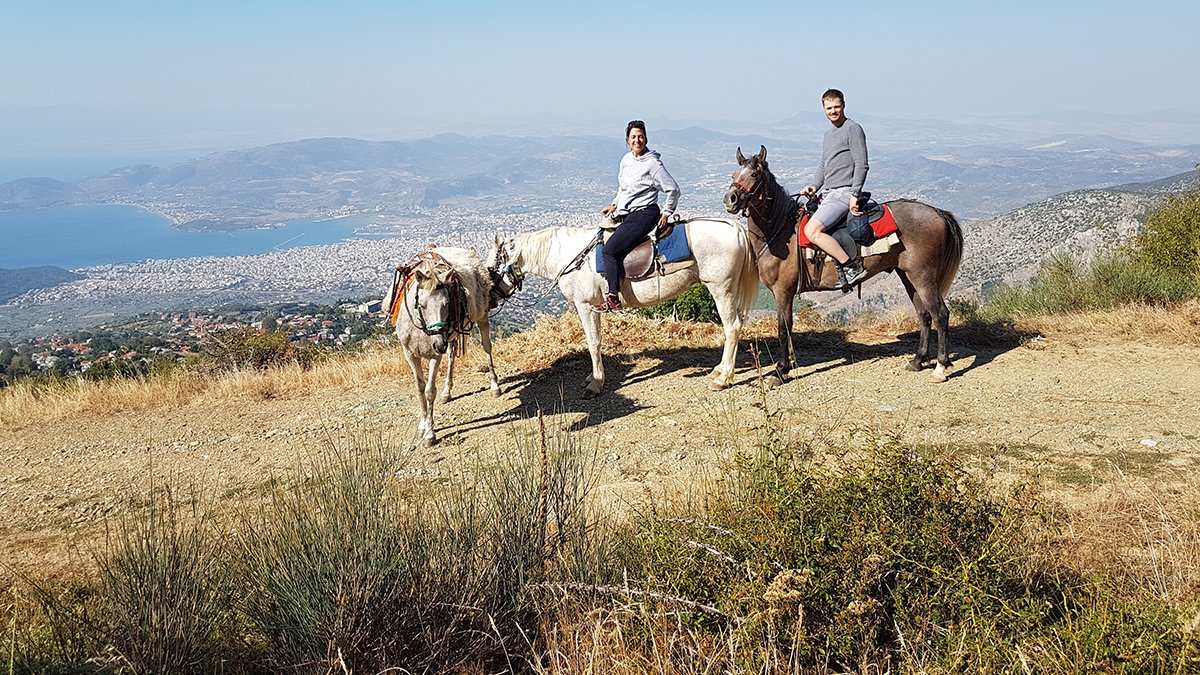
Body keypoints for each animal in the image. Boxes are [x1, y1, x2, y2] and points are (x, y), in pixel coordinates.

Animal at [381, 243, 499, 444]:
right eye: (422, 304)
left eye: (447, 303)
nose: (439, 344)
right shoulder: (409, 353)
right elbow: (419, 387)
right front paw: (422, 425)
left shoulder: (434, 355)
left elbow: (429, 390)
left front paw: (430, 433)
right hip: (450, 338)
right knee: (451, 357)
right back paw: (447, 392)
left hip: (481, 317)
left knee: (486, 347)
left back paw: (495, 385)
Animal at [720, 145, 964, 384]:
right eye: (733, 175)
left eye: (754, 174)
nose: (730, 199)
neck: (781, 232)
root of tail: (938, 213)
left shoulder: (783, 292)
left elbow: (783, 329)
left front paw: (781, 370)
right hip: (908, 275)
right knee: (924, 315)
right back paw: (918, 360)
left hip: (923, 277)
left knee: (940, 314)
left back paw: (940, 368)